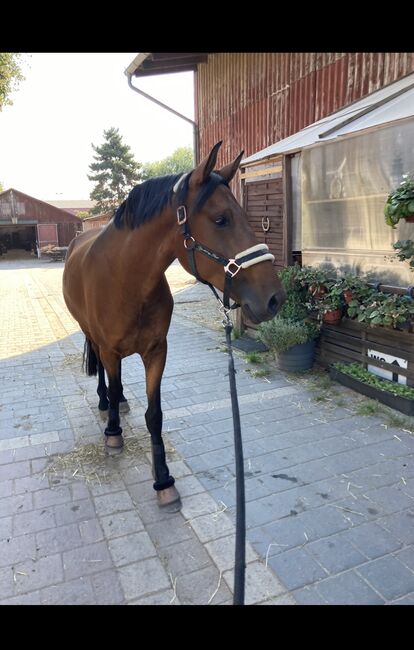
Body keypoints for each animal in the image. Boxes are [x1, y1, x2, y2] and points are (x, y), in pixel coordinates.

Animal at [63, 140, 284, 506]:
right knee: (104, 375)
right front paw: (113, 433)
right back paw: (106, 404)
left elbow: (155, 415)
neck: (126, 280)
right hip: (91, 335)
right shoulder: (110, 350)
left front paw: (163, 479)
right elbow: (114, 383)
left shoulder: (157, 352)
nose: (274, 298)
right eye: (221, 219)